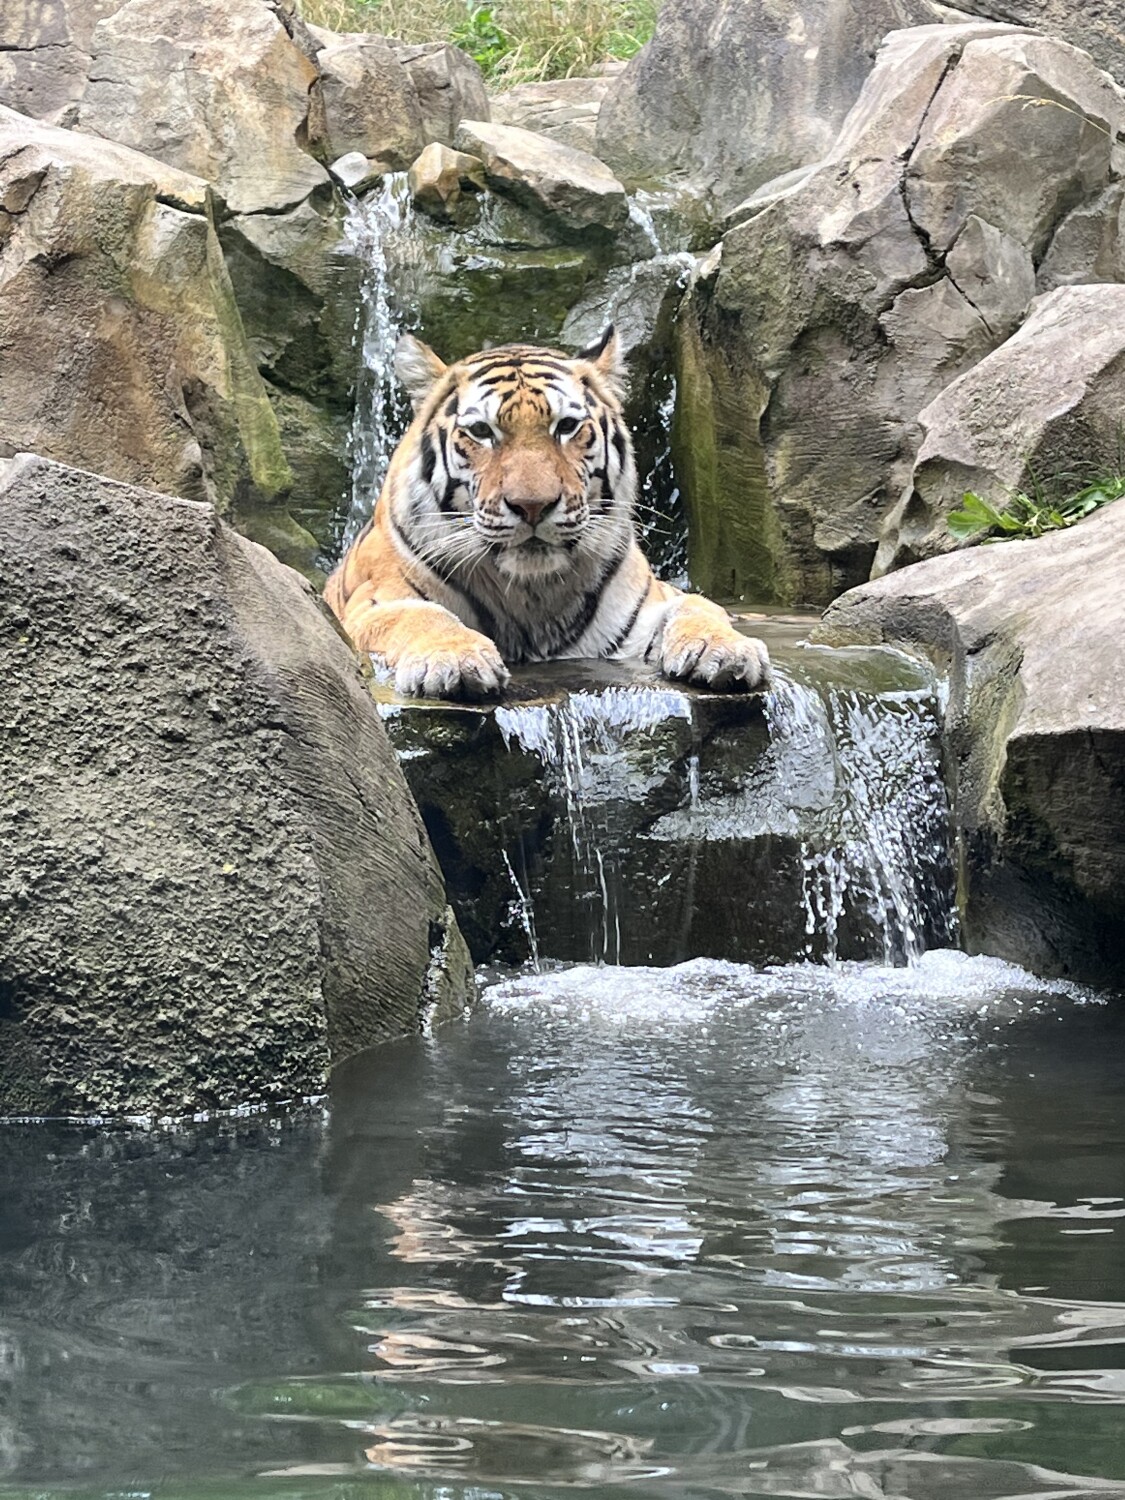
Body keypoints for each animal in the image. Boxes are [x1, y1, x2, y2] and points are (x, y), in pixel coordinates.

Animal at [325, 328, 769, 699]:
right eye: (482, 431)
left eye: (567, 426)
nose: (533, 505)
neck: (533, 593)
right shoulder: (370, 605)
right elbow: (420, 616)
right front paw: (455, 658)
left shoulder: (656, 599)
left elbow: (698, 606)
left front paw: (724, 649)